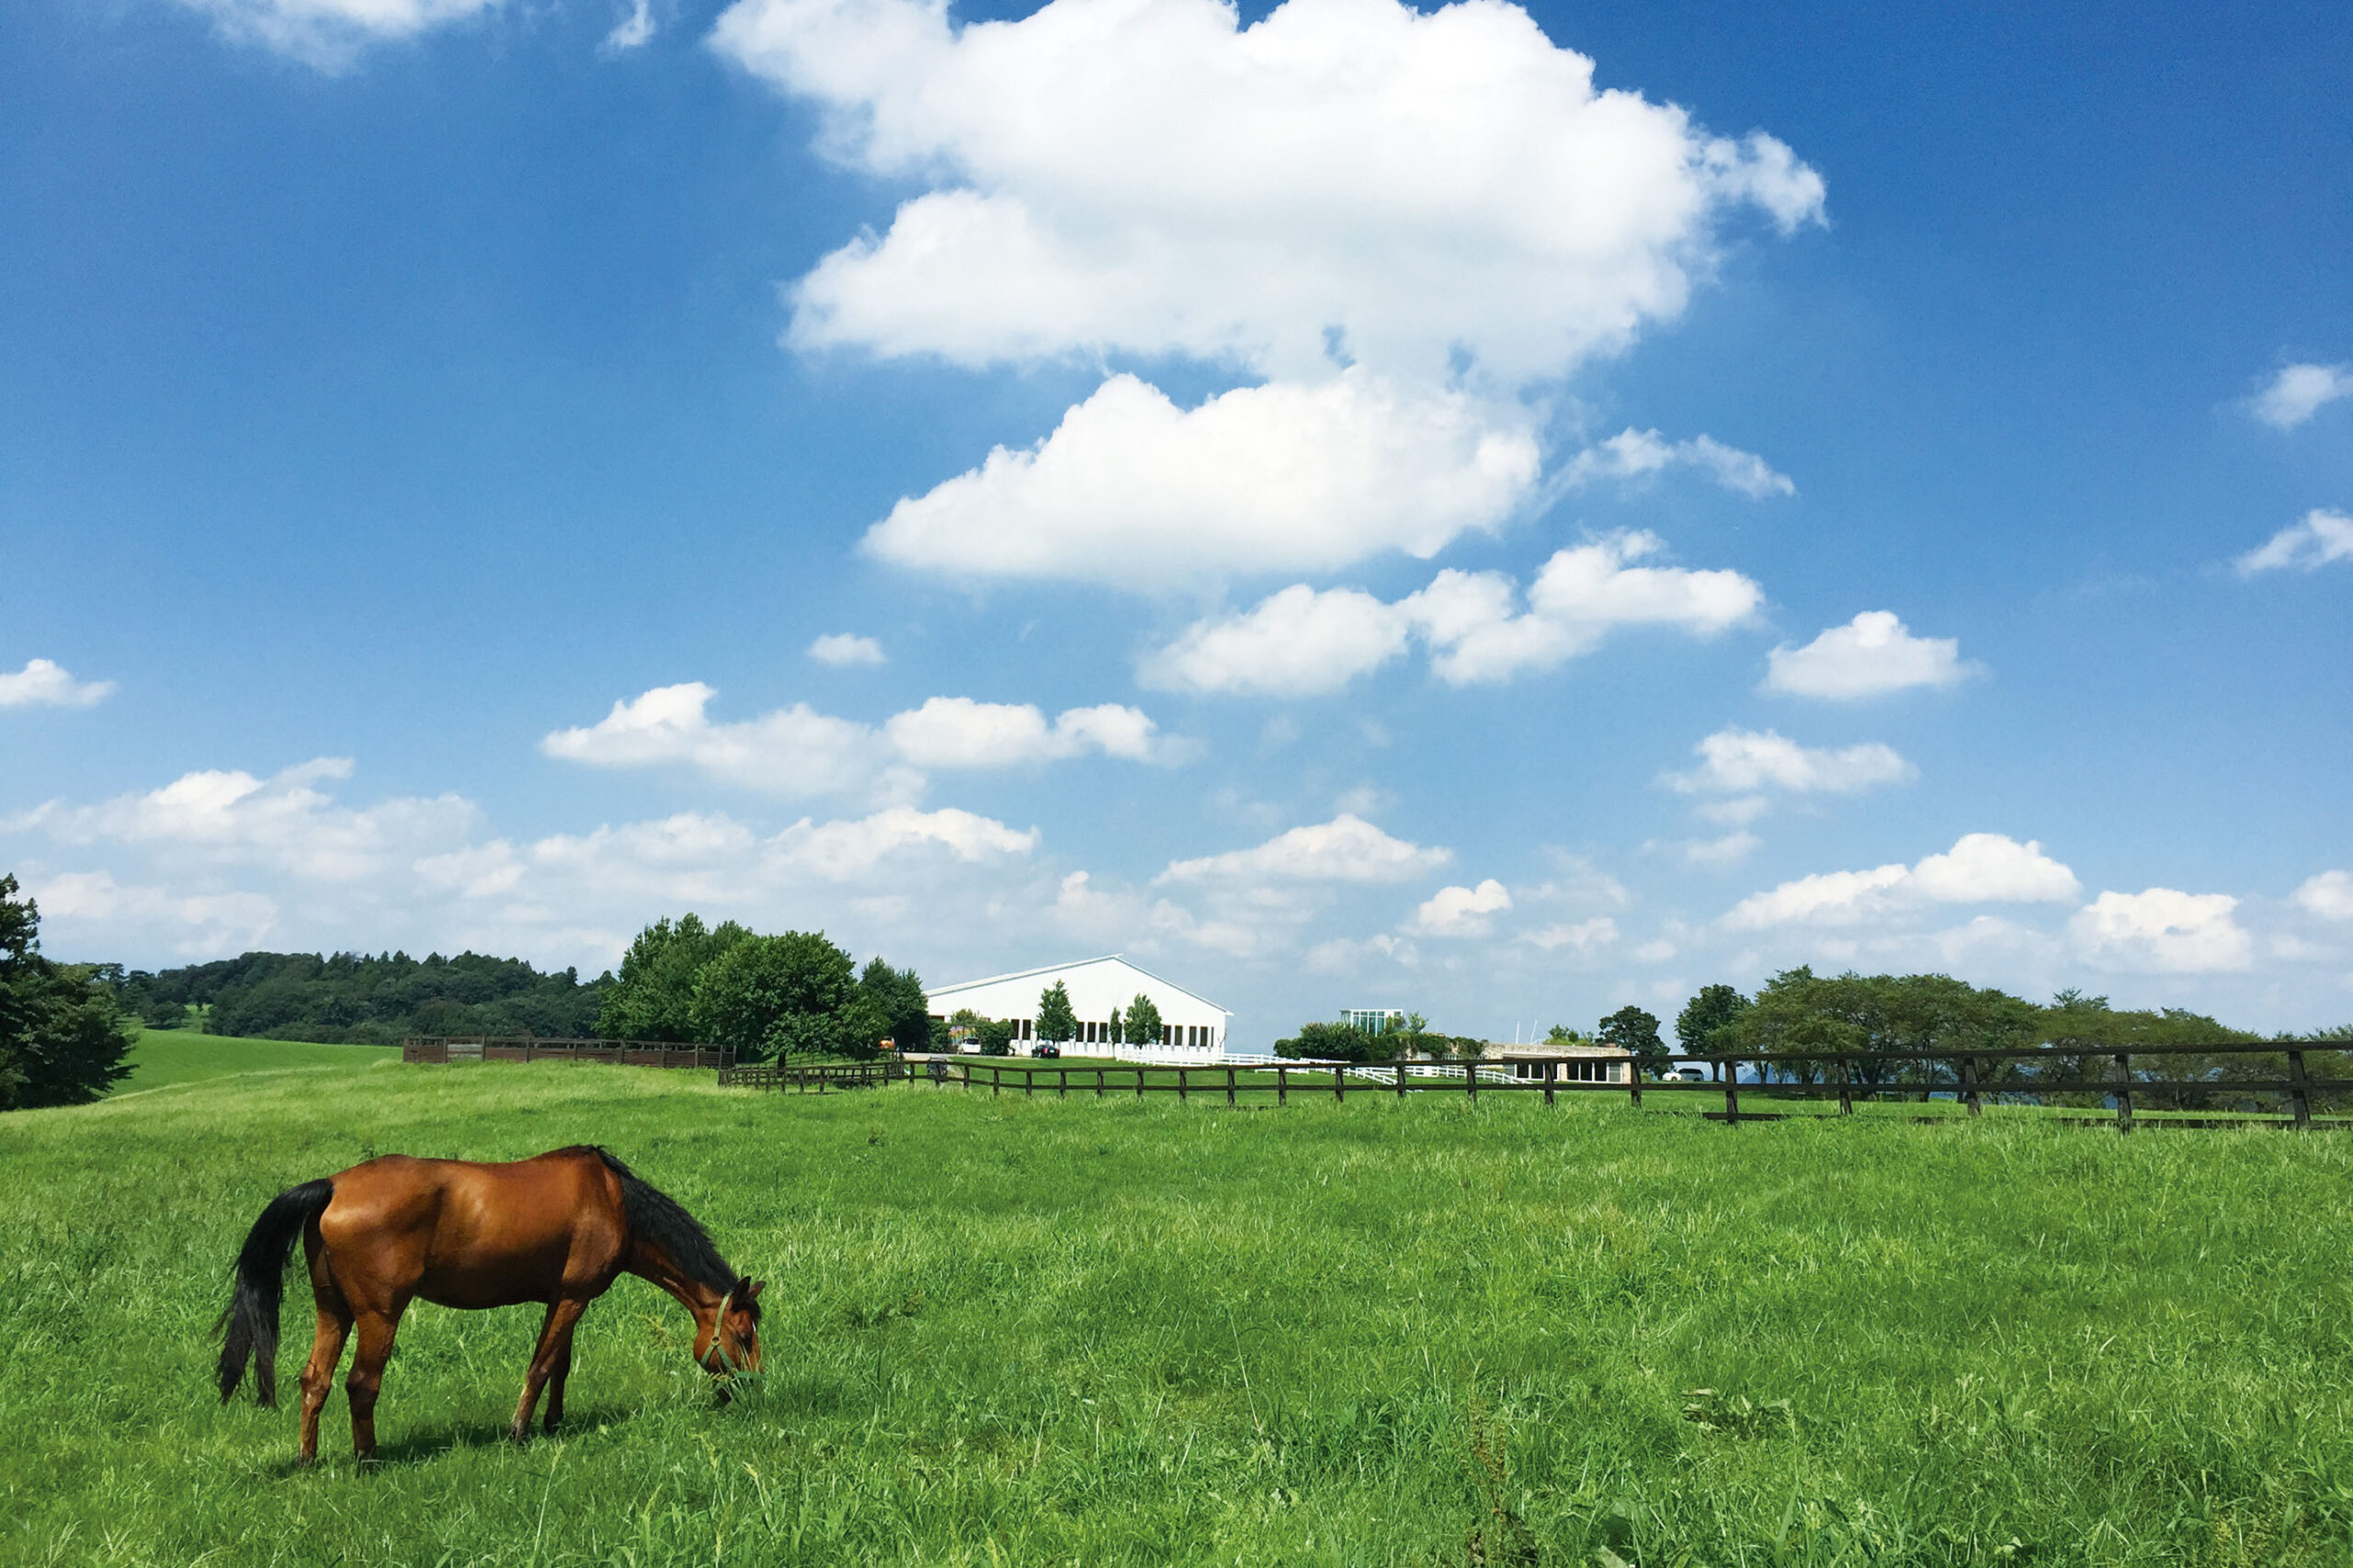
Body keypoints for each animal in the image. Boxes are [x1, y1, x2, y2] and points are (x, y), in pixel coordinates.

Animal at [213, 1143, 762, 1460]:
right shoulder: (573, 1298)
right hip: (378, 1316)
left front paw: (553, 1424)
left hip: (334, 1311)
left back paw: (307, 1460)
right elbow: (541, 1366)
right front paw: (519, 1431)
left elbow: (559, 1366)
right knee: (361, 1385)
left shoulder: (565, 1299)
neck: (615, 1202)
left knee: (316, 1381)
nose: (752, 1390)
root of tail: (332, 1187)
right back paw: (367, 1460)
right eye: (743, 1335)